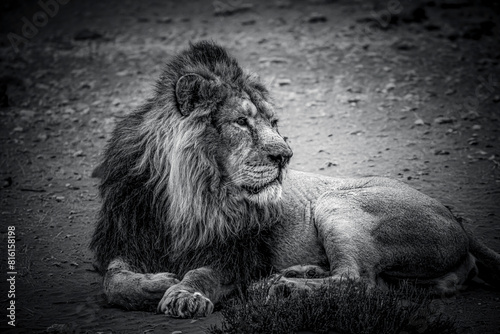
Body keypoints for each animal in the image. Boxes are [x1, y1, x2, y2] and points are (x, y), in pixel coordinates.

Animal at [91, 40, 500, 318]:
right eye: (241, 122)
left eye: (273, 123)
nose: (285, 156)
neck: (184, 197)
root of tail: (455, 216)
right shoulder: (126, 238)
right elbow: (114, 281)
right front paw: (157, 282)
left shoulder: (237, 253)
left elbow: (202, 274)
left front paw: (183, 293)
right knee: (380, 284)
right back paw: (297, 274)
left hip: (337, 202)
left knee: (357, 282)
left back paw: (280, 287)